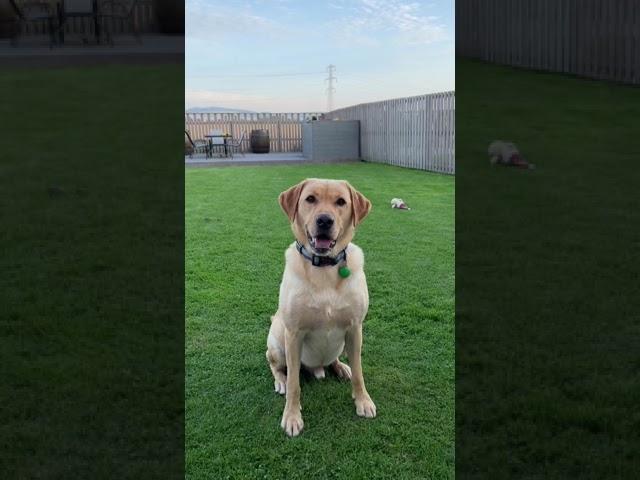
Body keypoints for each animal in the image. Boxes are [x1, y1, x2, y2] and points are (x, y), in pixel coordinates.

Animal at [264, 178, 376, 436]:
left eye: (341, 202)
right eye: (310, 199)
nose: (325, 220)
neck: (324, 267)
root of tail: (316, 368)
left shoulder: (355, 328)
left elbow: (360, 373)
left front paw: (363, 401)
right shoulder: (294, 333)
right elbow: (294, 384)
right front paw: (292, 416)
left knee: (335, 361)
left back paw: (341, 367)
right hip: (278, 342)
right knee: (276, 365)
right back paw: (280, 380)